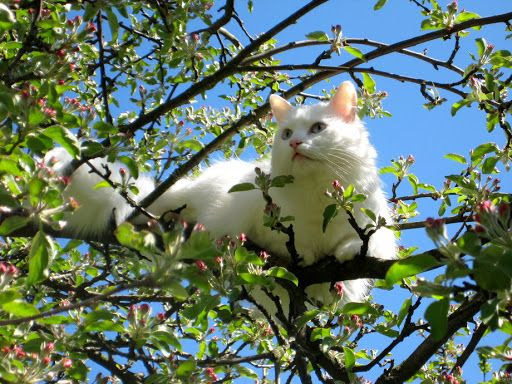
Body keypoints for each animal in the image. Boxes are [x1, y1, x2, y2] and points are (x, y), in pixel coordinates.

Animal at [46, 82, 396, 312]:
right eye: (286, 134)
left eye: (318, 128)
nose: (295, 144)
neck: (316, 195)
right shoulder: (263, 220)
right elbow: (288, 244)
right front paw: (305, 254)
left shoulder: (376, 230)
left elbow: (361, 242)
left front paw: (346, 251)